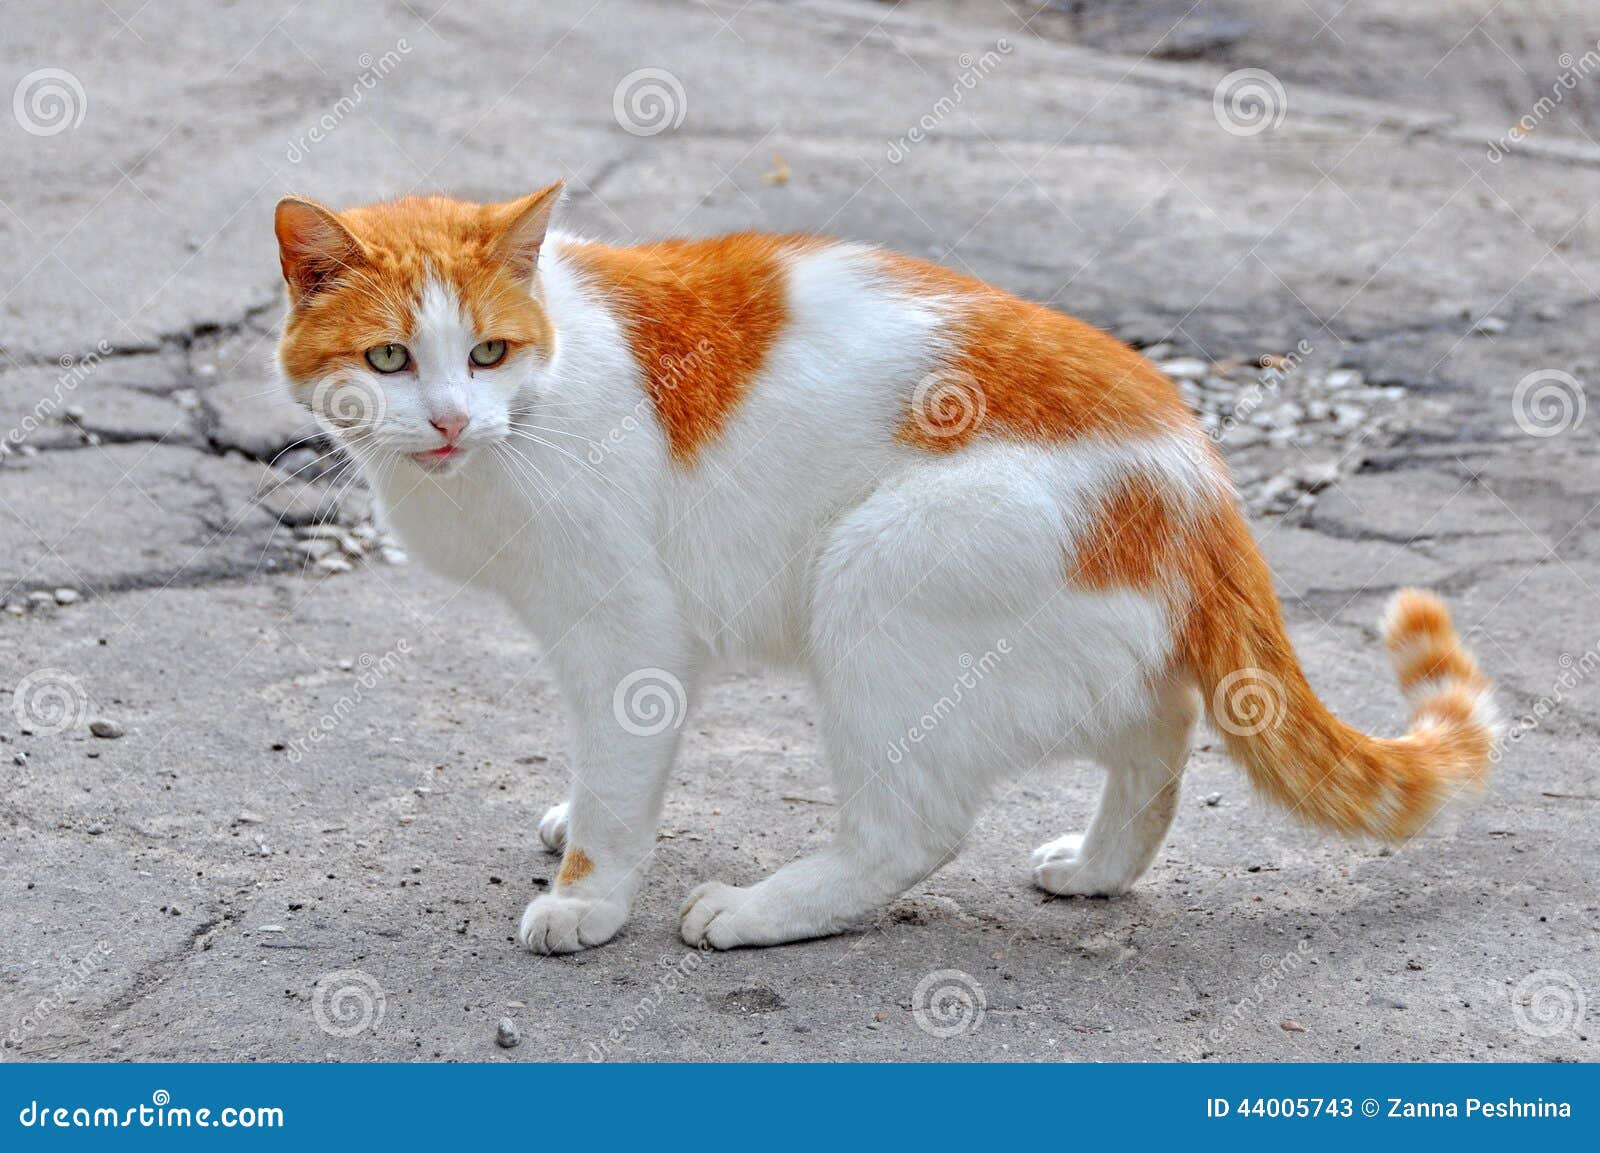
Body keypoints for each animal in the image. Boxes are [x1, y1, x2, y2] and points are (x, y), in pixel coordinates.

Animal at [272, 182, 1497, 953]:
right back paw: (1099, 867)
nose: (445, 419)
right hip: (1062, 641)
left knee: (912, 831)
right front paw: (577, 817)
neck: (530, 403)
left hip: (874, 585)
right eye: (389, 358)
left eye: (487, 352)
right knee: (1158, 735)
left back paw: (761, 910)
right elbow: (608, 764)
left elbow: (619, 787)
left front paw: (588, 896)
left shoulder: (628, 630)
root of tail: (1199, 470)